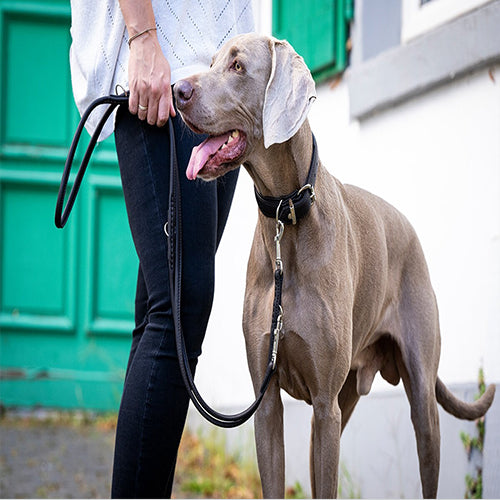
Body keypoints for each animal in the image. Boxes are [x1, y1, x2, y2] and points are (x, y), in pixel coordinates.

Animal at [173, 33, 496, 498]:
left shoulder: (325, 405)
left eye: (237, 66)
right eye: (212, 61)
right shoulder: (267, 404)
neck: (286, 215)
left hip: (419, 402)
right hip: (341, 403)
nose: (176, 91)